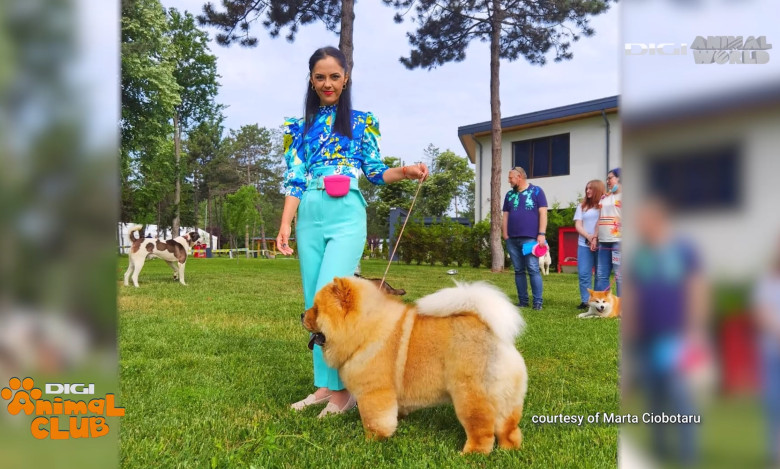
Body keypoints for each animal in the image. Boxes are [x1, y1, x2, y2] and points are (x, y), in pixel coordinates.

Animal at [302, 276, 528, 452]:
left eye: (317, 309)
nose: (302, 314)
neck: (366, 330)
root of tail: (494, 335)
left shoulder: (373, 393)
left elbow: (374, 420)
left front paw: (371, 440)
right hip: (505, 397)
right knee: (508, 427)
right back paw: (508, 450)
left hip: (469, 396)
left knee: (482, 430)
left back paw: (470, 454)